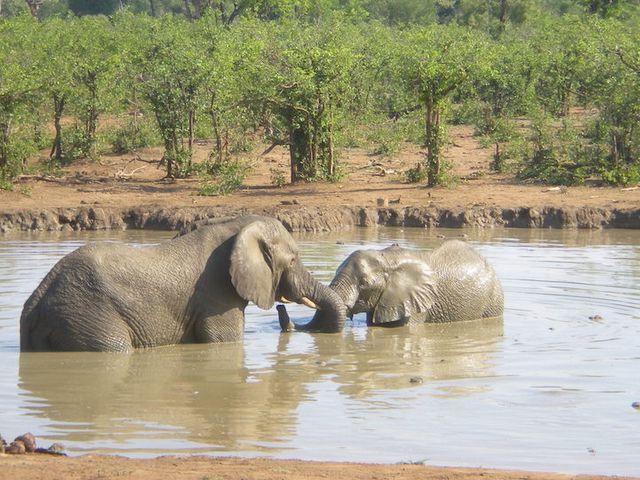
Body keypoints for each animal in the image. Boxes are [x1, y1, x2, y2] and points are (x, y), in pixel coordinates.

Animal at [20, 215, 346, 352]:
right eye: (293, 259)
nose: (281, 307)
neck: (235, 225)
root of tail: (39, 297)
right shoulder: (216, 294)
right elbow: (223, 340)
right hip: (90, 315)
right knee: (114, 349)